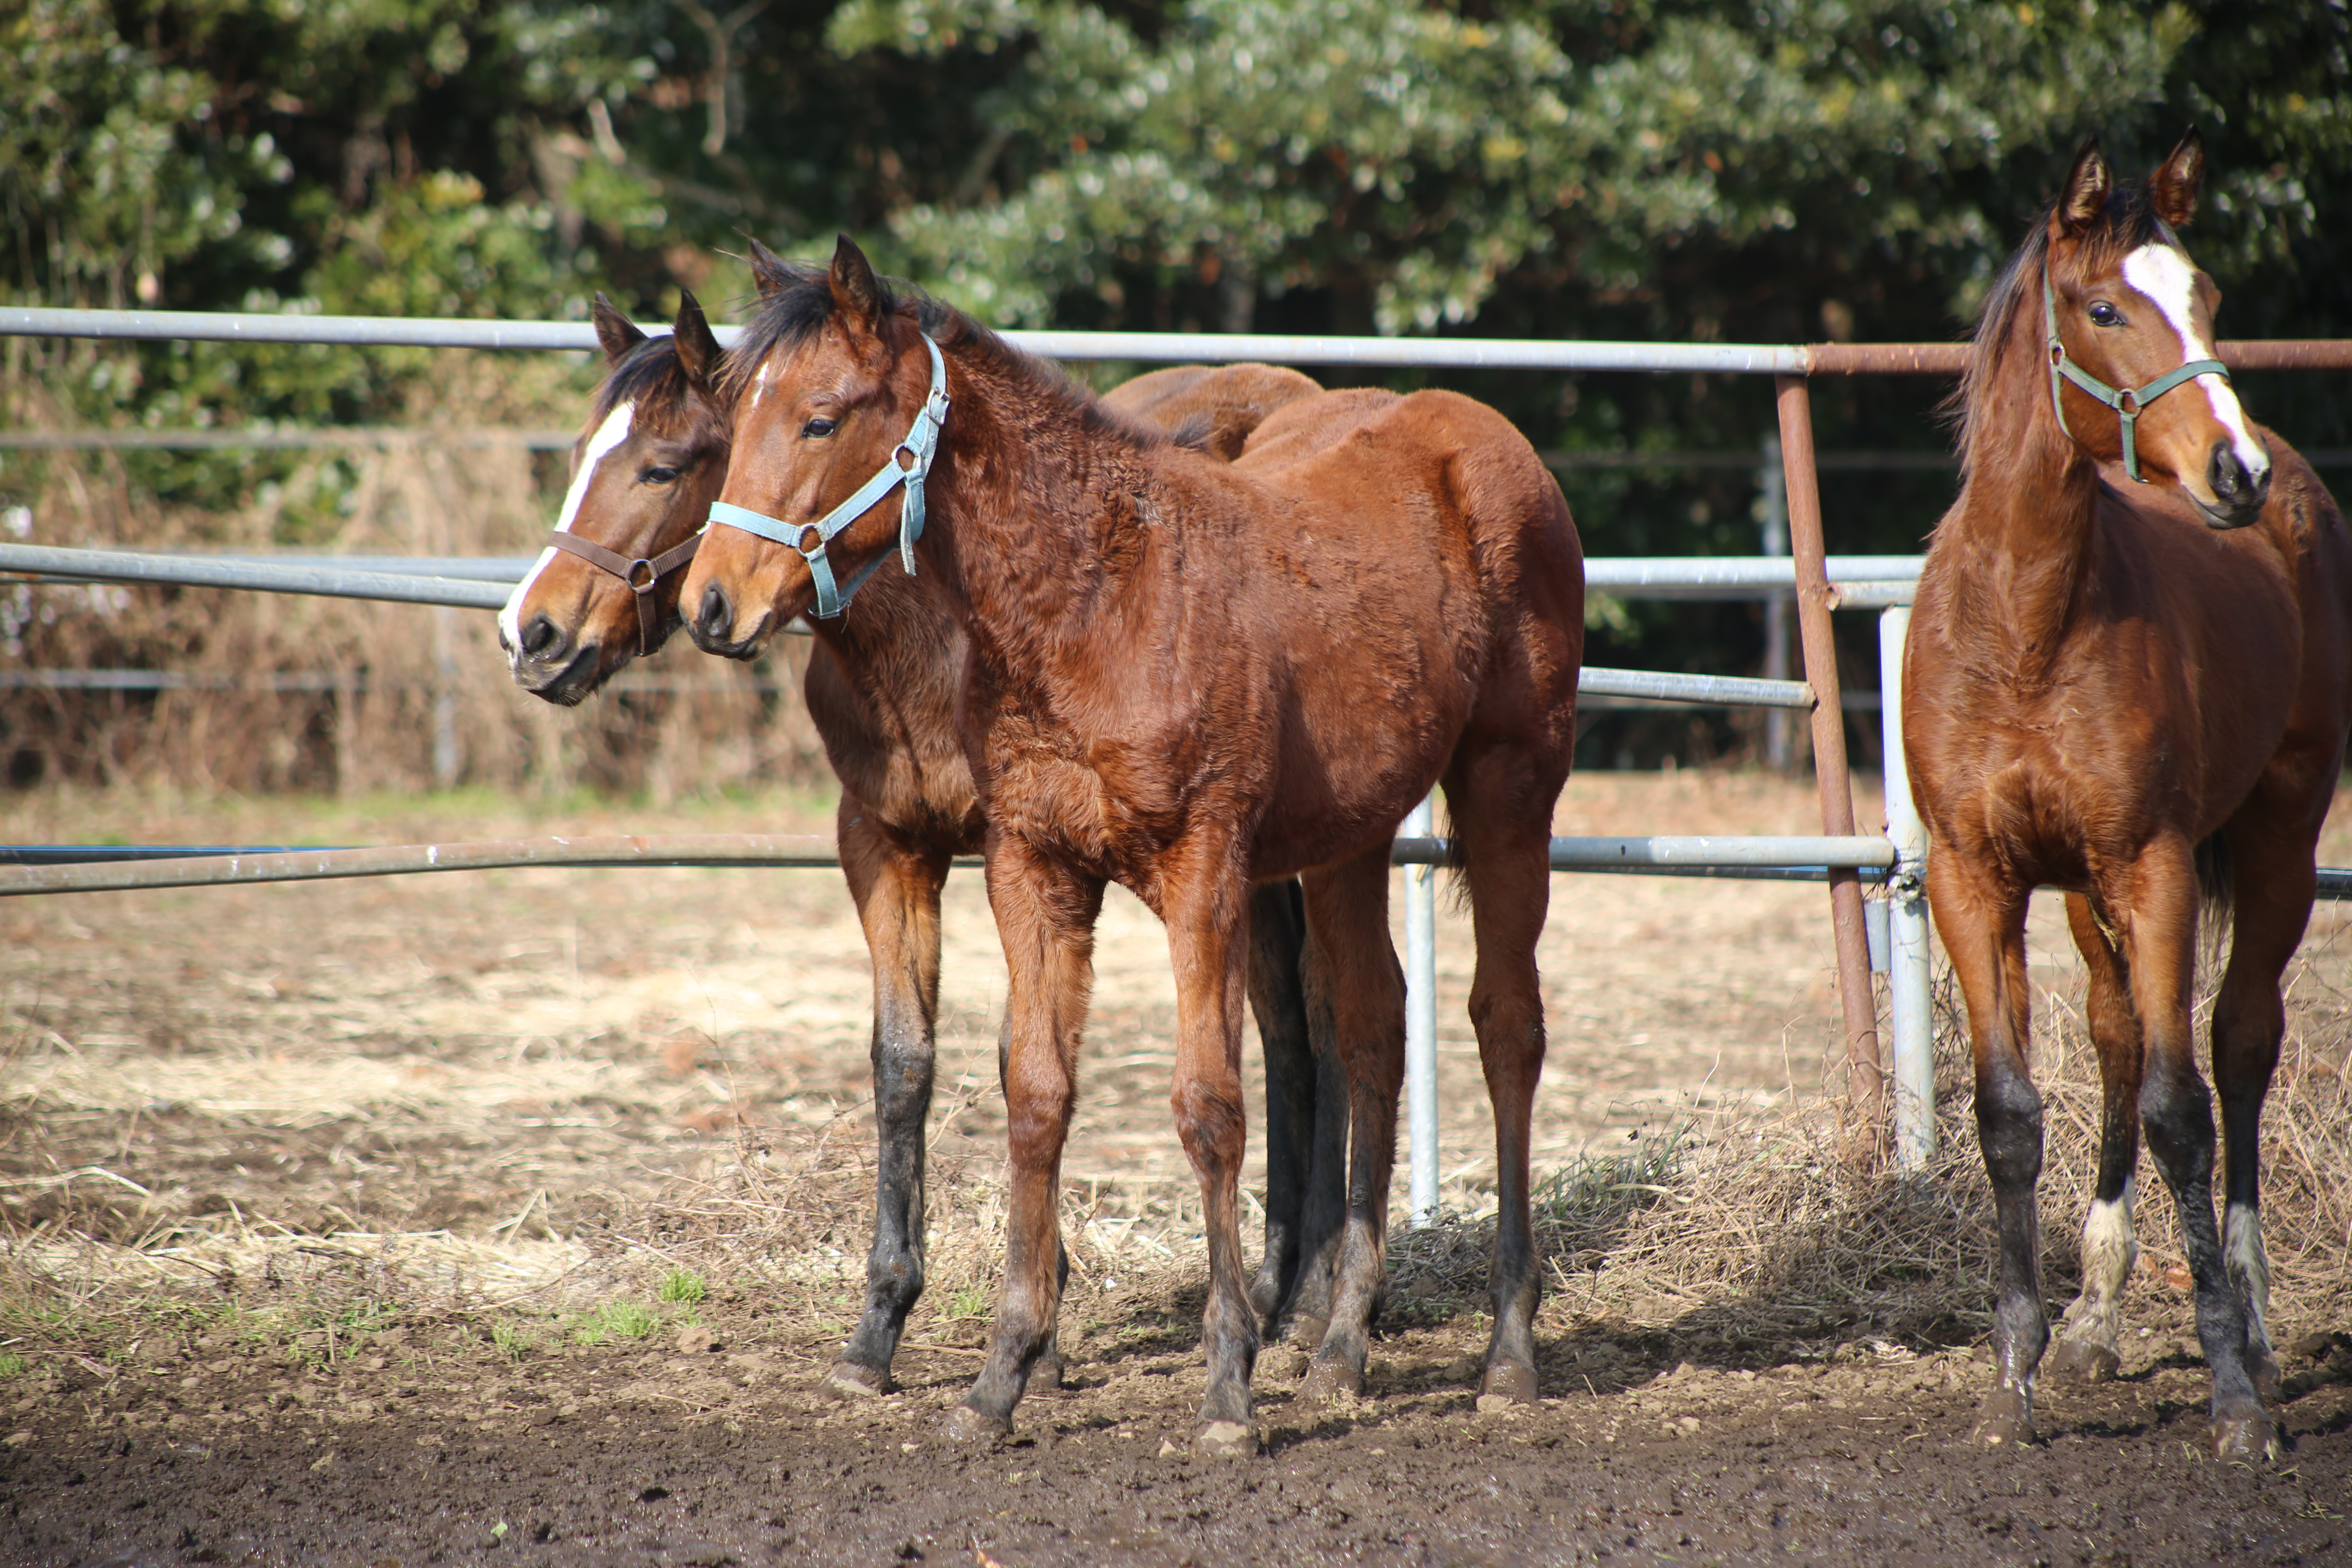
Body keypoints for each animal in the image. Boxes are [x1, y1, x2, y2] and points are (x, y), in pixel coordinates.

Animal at [494, 294, 1345, 1401]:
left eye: (667, 465)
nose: (532, 634)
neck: (916, 635)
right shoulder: (885, 843)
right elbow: (906, 1061)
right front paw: (881, 1327)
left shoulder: (1020, 847)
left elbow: (1017, 1057)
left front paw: (1041, 1331)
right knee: (1288, 1032)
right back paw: (1281, 1289)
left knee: (1315, 1029)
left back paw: (1311, 1299)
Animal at [682, 240, 1590, 1457]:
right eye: (732, 422)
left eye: (820, 420)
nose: (709, 603)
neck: (1101, 597)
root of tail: (1487, 438)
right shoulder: (1033, 866)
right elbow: (1035, 1094)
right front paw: (1000, 1379)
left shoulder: (1201, 867)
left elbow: (1208, 1108)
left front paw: (1226, 1392)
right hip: (1349, 839)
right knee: (1373, 1028)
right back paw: (1339, 1353)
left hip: (1509, 791)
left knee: (1505, 1027)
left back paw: (1506, 1353)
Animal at [1910, 131, 2352, 1457]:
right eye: (2103, 309)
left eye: (2203, 296)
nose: (2232, 469)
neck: (2021, 621)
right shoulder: (1973, 876)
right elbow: (2009, 1111)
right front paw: (2013, 1376)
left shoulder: (2154, 866)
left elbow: (2179, 1109)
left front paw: (2233, 1398)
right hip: (2080, 897)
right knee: (2113, 1036)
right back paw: (2096, 1316)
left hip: (2274, 844)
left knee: (2238, 1044)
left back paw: (2252, 1324)